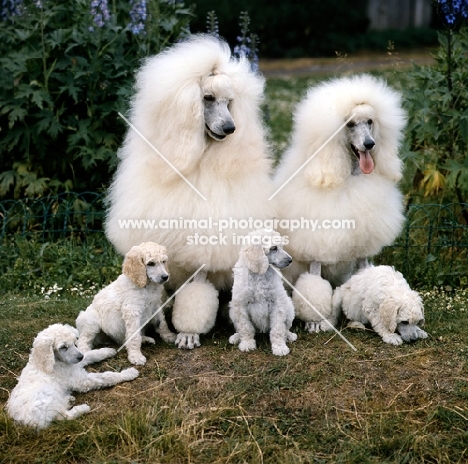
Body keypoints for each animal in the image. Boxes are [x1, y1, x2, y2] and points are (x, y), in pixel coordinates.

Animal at [5, 322, 138, 428]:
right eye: (63, 347)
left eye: (74, 343)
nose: (80, 357)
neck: (56, 361)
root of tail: (22, 421)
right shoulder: (80, 380)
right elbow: (107, 376)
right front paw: (128, 373)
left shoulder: (76, 364)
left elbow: (91, 354)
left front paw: (107, 351)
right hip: (44, 403)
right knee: (64, 417)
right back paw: (83, 408)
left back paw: (69, 400)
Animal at [105, 35, 274, 348]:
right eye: (207, 98)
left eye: (230, 102)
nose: (230, 128)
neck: (199, 160)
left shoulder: (203, 245)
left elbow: (199, 286)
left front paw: (188, 332)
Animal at [229, 230, 298, 358]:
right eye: (274, 248)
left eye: (281, 247)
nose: (290, 260)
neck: (259, 274)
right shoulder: (240, 305)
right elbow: (245, 327)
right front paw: (247, 343)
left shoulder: (277, 303)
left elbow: (278, 328)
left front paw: (279, 347)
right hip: (232, 311)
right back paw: (236, 337)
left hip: (289, 307)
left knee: (285, 328)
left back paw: (289, 336)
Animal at [272, 74, 408, 332]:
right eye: (350, 124)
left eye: (370, 121)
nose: (370, 144)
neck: (348, 175)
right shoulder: (317, 247)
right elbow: (314, 284)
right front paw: (316, 322)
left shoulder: (363, 247)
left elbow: (365, 275)